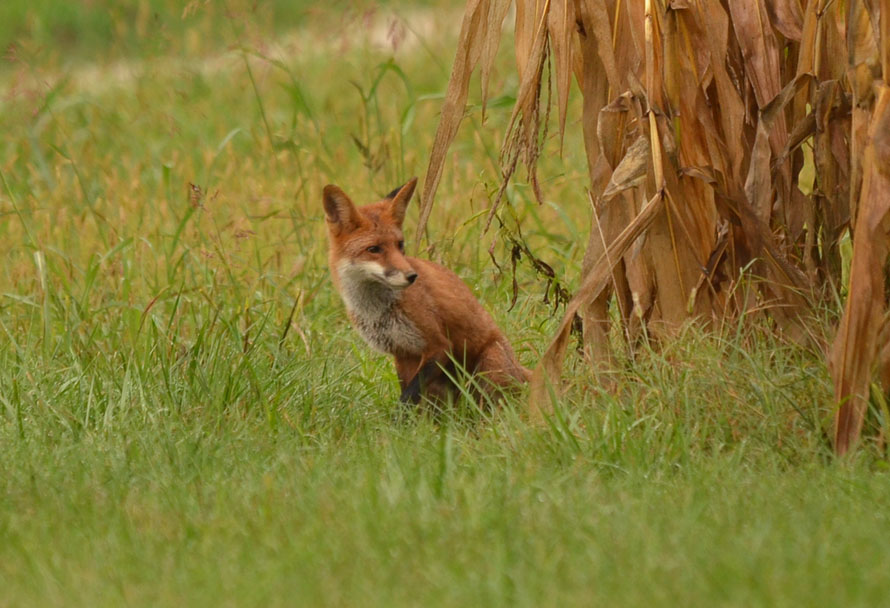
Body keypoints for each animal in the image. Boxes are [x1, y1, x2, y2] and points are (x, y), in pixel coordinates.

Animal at [324, 176, 528, 404]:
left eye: (400, 245)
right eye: (374, 249)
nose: (412, 276)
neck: (376, 310)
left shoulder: (438, 346)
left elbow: (408, 396)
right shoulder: (403, 353)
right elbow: (407, 390)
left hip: (488, 369)